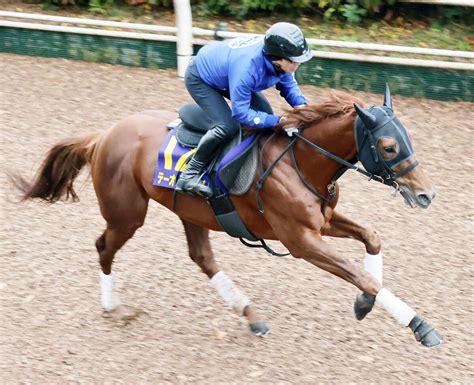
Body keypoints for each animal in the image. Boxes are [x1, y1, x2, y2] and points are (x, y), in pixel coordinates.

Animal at [10, 85, 444, 348]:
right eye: (388, 146)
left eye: (407, 139)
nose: (426, 194)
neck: (303, 162)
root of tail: (103, 136)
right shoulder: (301, 240)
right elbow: (359, 273)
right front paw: (419, 325)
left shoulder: (322, 223)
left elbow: (371, 238)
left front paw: (365, 304)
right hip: (127, 214)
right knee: (104, 246)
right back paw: (112, 307)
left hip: (189, 211)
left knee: (201, 257)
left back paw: (251, 315)